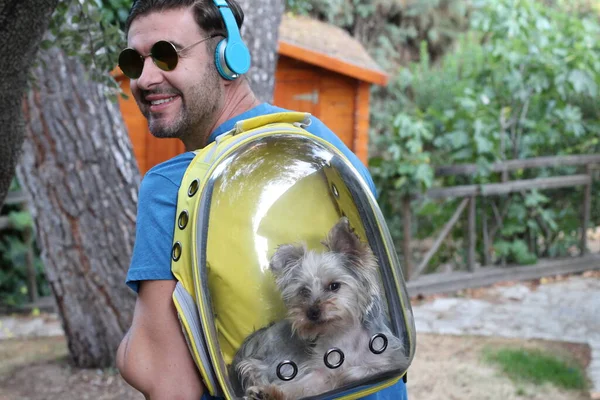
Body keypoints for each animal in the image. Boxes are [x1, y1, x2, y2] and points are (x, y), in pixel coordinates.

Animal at [231, 219, 408, 400]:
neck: (342, 333)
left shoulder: (390, 363)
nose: (311, 312)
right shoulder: (317, 373)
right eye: (303, 291)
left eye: (334, 286)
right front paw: (269, 392)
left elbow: (359, 370)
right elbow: (298, 385)